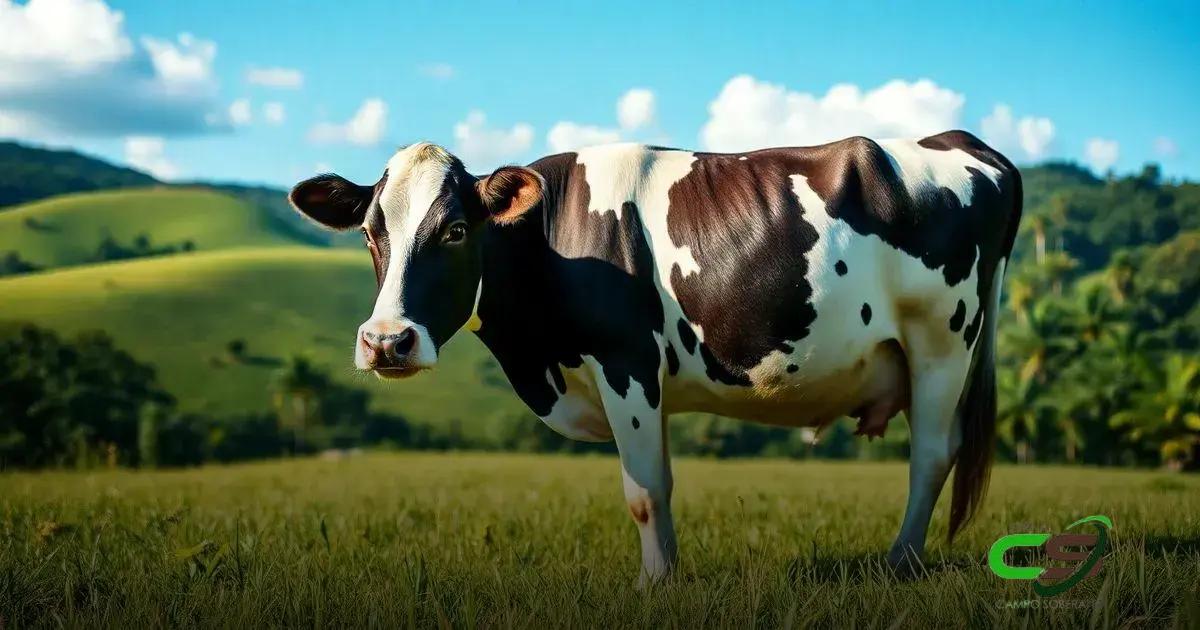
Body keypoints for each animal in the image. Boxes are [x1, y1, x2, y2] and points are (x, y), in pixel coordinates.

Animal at [288, 131, 1022, 584]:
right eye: (369, 232)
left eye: (457, 229)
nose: (387, 341)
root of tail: (961, 142)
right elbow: (660, 482)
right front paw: (667, 574)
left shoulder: (626, 361)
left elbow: (642, 491)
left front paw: (653, 583)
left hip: (941, 342)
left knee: (931, 455)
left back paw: (900, 561)